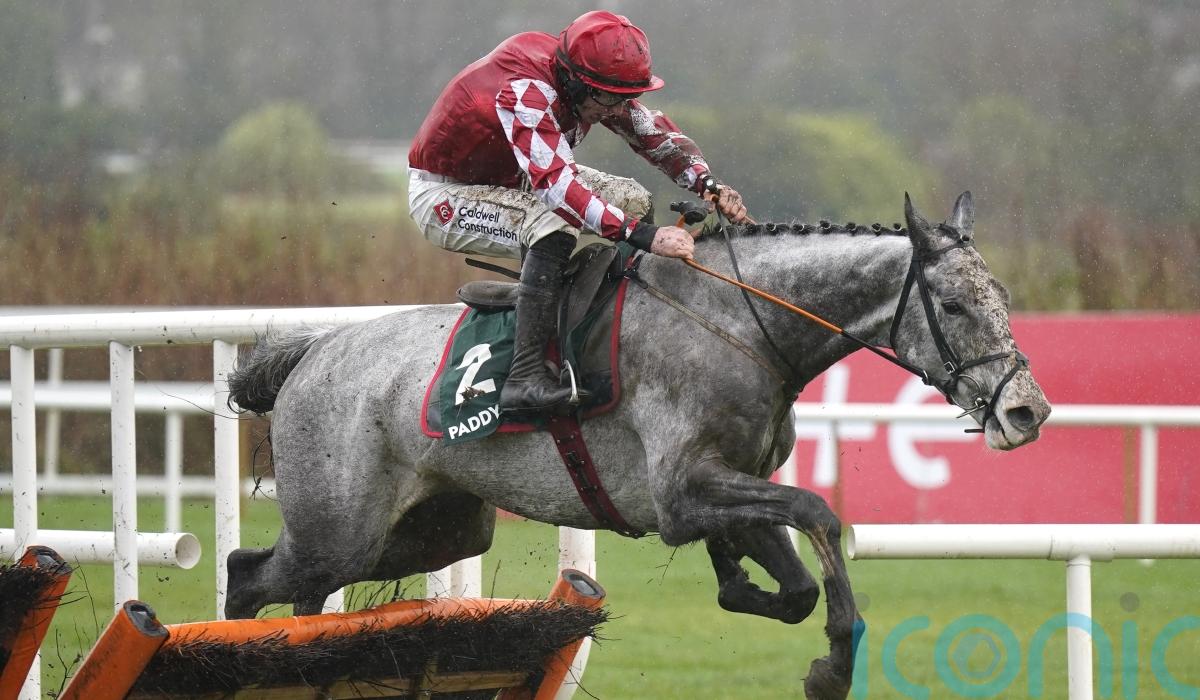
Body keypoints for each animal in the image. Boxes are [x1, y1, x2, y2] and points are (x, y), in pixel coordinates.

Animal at [224, 192, 1051, 699]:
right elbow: (817, 514)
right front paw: (833, 666)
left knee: (284, 585)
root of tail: (311, 353)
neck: (744, 324)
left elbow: (794, 585)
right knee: (247, 575)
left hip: (432, 532)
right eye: (953, 304)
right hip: (343, 528)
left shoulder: (735, 485)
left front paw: (742, 582)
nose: (1027, 411)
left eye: (1005, 298)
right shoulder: (683, 492)